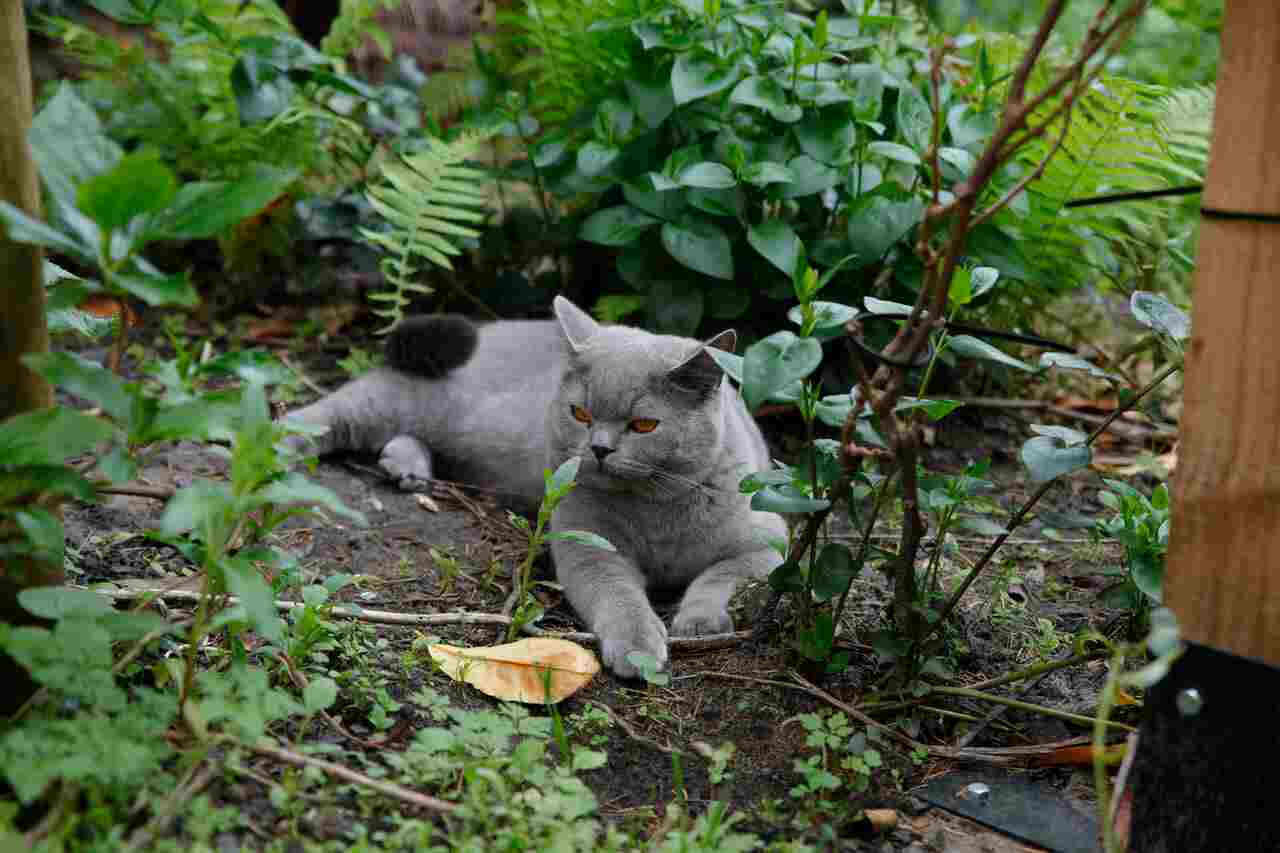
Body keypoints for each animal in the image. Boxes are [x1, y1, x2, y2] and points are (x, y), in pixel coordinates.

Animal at [285, 295, 783, 676]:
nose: (599, 448)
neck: (656, 512)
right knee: (308, 416)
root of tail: (492, 326)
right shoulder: (587, 546)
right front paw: (638, 647)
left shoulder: (770, 539)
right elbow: (619, 594)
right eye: (580, 413)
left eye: (644, 424)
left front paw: (700, 622)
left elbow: (723, 575)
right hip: (392, 401)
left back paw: (407, 466)